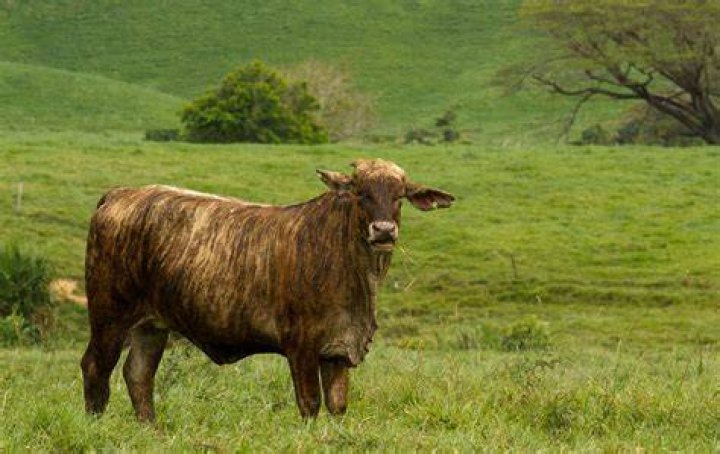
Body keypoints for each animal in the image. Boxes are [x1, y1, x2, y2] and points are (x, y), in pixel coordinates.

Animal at [81, 158, 454, 421]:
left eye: (399, 197)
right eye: (361, 193)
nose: (384, 230)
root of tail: (122, 194)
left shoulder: (337, 350)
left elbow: (336, 406)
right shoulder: (301, 346)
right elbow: (310, 404)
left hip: (151, 325)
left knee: (138, 375)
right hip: (109, 316)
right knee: (96, 368)